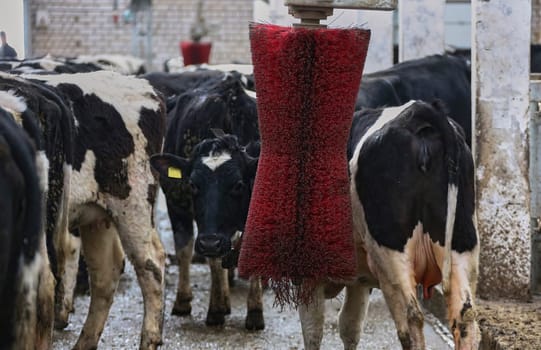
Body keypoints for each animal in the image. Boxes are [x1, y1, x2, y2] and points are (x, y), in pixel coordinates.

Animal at [151, 75, 262, 330]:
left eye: (238, 185)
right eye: (193, 184)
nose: (210, 243)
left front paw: (255, 311)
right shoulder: (181, 206)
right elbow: (197, 254)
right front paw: (216, 308)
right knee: (187, 249)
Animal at [298, 100, 478, 350]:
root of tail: (418, 113)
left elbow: (313, 330)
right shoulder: (359, 280)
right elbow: (349, 326)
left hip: (390, 255)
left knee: (411, 321)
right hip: (462, 244)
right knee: (465, 318)